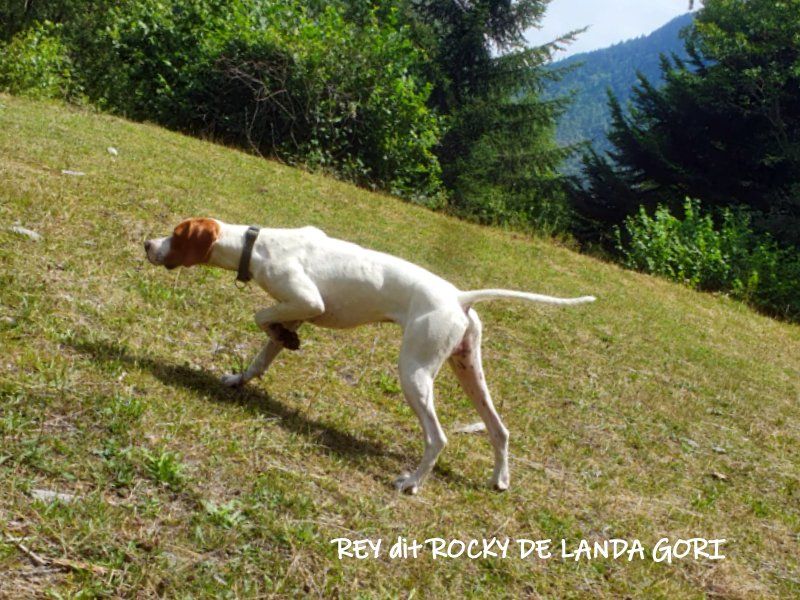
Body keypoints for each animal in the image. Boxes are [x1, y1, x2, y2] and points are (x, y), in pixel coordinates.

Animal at [145, 218, 592, 494]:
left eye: (176, 233)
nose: (147, 243)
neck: (258, 245)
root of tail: (459, 297)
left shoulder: (308, 301)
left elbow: (260, 316)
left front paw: (281, 339)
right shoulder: (298, 309)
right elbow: (266, 349)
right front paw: (245, 374)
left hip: (414, 373)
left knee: (438, 437)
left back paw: (412, 483)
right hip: (468, 370)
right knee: (500, 430)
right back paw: (500, 478)